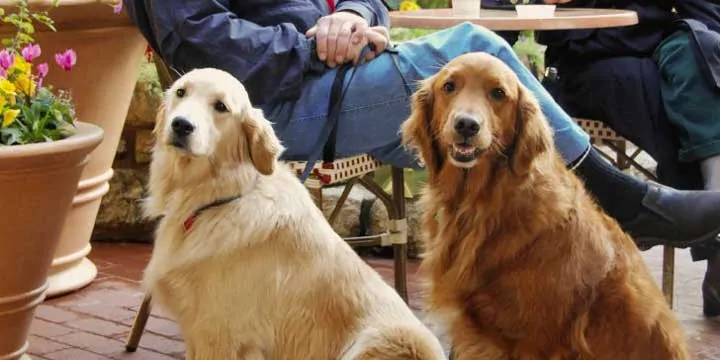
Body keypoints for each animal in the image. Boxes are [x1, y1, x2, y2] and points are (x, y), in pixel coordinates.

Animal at [143, 68, 448, 360]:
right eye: (181, 92)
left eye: (221, 106)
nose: (181, 125)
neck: (220, 196)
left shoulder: (220, 334)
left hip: (380, 339)